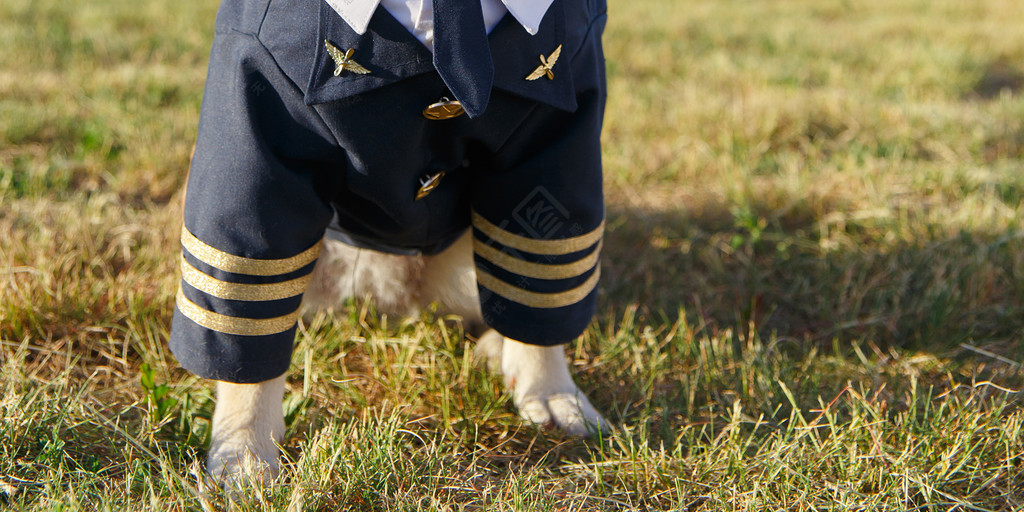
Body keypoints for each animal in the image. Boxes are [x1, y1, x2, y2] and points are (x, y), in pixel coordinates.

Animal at [172, 0, 610, 483]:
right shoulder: (257, 132)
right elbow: (242, 312)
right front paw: (244, 446)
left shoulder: (555, 137)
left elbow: (541, 279)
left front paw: (549, 390)